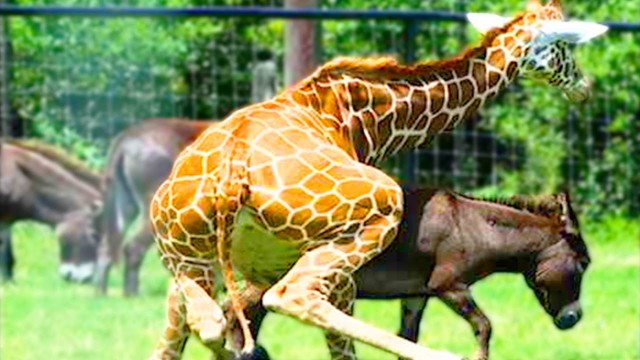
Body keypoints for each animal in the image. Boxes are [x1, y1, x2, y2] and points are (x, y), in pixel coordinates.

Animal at [148, 1, 608, 358]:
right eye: (565, 47)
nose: (584, 86)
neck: (371, 118)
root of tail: (233, 178)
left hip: (187, 255)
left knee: (195, 329)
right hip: (371, 221)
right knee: (292, 301)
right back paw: (441, 355)